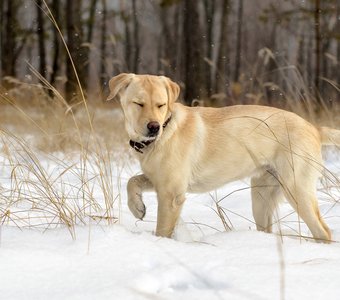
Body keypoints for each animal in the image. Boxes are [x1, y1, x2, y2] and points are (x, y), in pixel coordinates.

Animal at [107, 74, 340, 243]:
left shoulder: (172, 194)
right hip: (261, 197)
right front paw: (137, 207)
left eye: (161, 105)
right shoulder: (159, 181)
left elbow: (162, 230)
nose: (154, 127)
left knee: (323, 231)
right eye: (138, 103)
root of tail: (314, 128)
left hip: (296, 188)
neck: (165, 130)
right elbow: (132, 181)